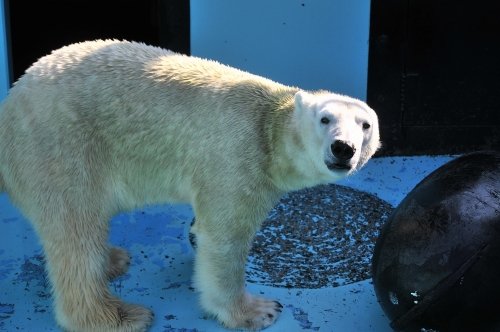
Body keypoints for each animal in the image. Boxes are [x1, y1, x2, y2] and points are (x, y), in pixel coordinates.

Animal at [0, 40, 378, 330]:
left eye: (365, 125)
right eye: (325, 118)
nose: (343, 148)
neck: (267, 126)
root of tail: (10, 104)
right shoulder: (238, 158)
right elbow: (224, 240)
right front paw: (256, 310)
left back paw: (113, 259)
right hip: (61, 148)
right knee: (76, 233)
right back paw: (120, 315)